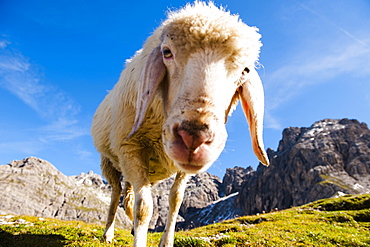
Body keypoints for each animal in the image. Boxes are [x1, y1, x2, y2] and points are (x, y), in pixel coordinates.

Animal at [89, 0, 268, 246]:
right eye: (167, 52)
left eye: (245, 70)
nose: (193, 137)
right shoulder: (130, 147)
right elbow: (144, 207)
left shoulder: (182, 169)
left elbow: (175, 199)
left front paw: (166, 241)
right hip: (109, 161)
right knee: (116, 193)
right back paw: (108, 233)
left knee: (128, 195)